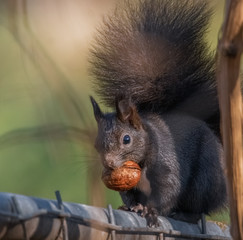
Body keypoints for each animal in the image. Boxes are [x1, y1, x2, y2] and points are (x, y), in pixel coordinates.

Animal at [88, 0, 227, 227]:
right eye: (96, 143)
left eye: (127, 139)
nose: (108, 163)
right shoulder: (131, 186)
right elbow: (129, 195)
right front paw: (132, 207)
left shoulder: (167, 166)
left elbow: (168, 191)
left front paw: (151, 211)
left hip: (204, 179)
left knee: (199, 209)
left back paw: (184, 215)